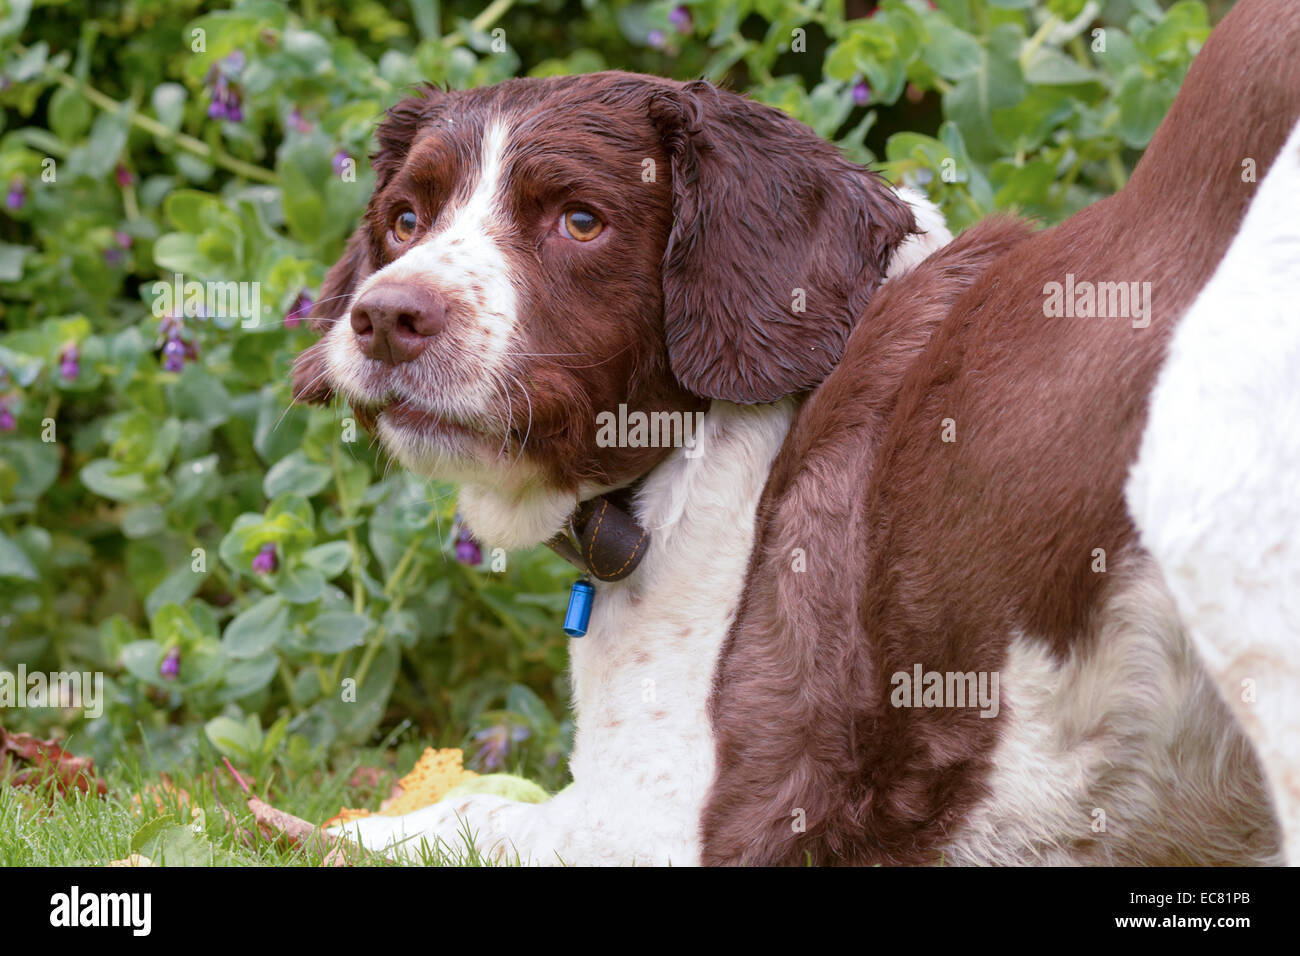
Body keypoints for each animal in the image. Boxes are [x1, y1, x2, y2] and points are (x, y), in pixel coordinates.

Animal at [295, 0, 1300, 868]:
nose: (385, 319)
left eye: (580, 221)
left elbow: (468, 809)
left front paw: (351, 826)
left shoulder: (682, 815)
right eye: (404, 219)